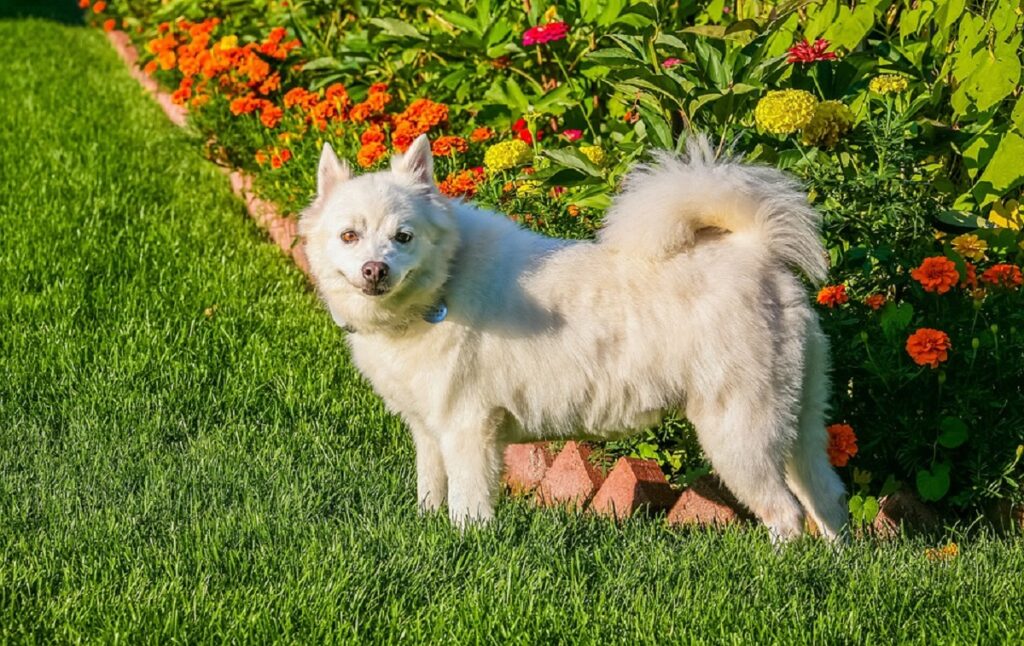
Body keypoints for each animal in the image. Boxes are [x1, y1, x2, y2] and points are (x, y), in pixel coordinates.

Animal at [301, 134, 847, 544]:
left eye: (404, 236)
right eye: (350, 236)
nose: (375, 270)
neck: (444, 283)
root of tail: (757, 251)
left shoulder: (468, 429)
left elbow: (467, 505)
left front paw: (465, 546)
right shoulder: (428, 431)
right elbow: (430, 494)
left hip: (739, 432)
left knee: (787, 514)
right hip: (798, 425)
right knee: (828, 500)